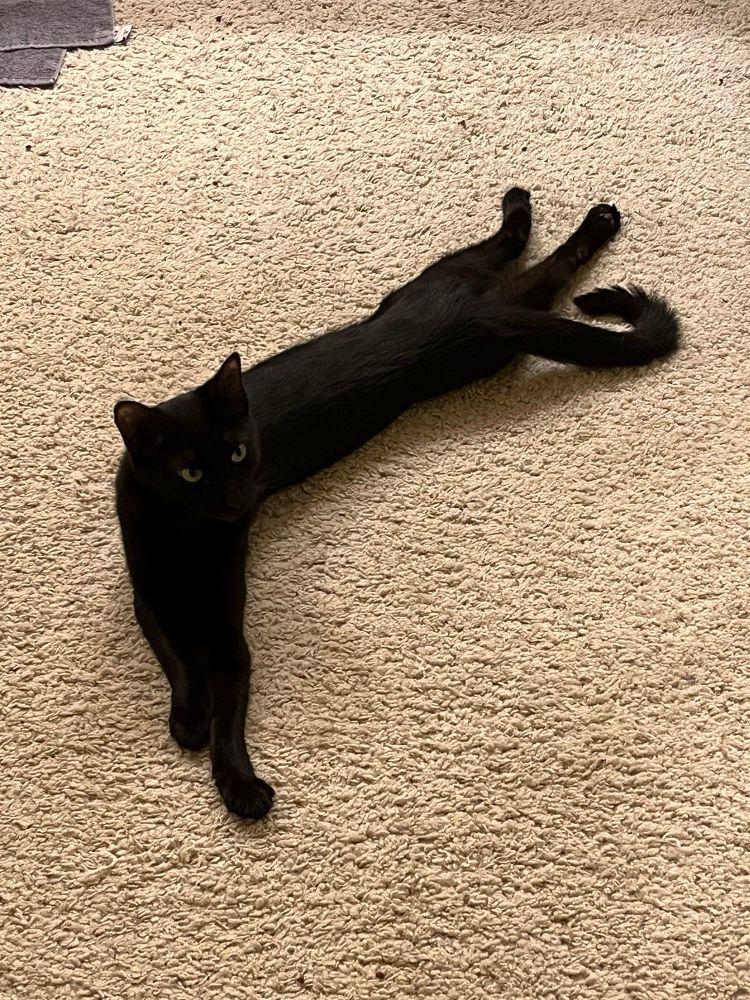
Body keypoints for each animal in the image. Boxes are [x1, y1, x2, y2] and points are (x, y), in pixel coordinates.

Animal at [113, 188, 679, 820]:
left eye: (238, 453)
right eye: (189, 471)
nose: (237, 498)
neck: (187, 534)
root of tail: (484, 312)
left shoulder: (228, 627)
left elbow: (229, 710)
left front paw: (240, 784)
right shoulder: (148, 597)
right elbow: (177, 657)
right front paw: (189, 717)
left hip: (450, 298)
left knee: (514, 247)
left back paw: (559, 210)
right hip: (483, 318)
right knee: (544, 266)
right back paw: (576, 221)